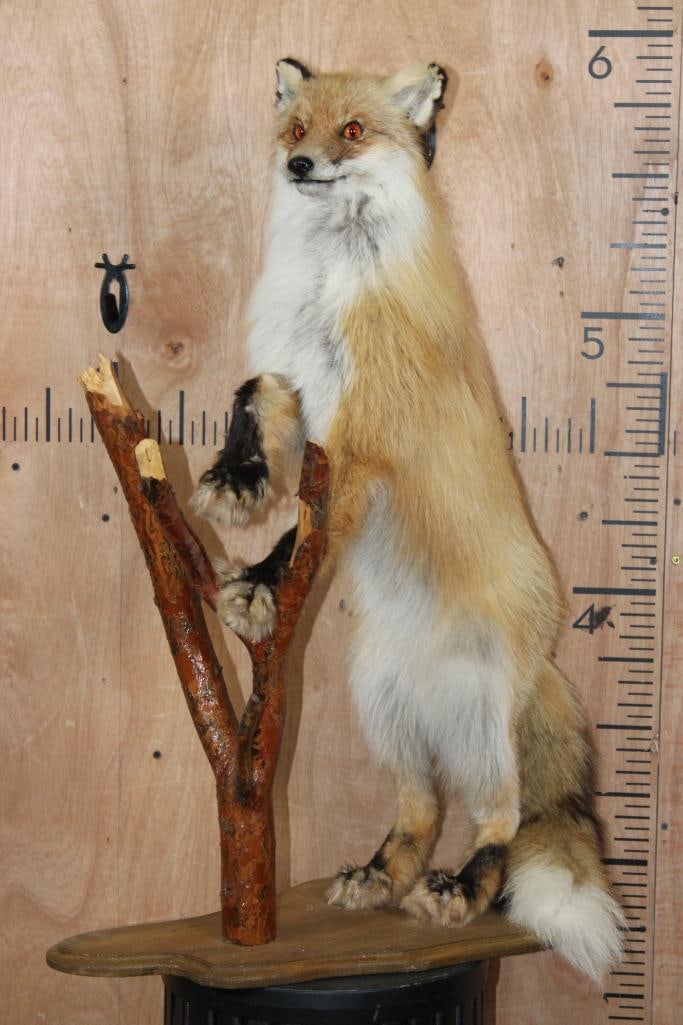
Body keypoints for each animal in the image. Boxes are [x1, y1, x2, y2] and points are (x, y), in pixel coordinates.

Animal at [192, 58, 625, 983]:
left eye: (353, 132)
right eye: (296, 131)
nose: (299, 166)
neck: (329, 283)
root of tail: (539, 660)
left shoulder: (362, 443)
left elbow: (306, 530)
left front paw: (260, 582)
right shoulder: (296, 389)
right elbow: (249, 393)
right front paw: (236, 476)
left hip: (485, 722)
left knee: (499, 818)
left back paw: (460, 888)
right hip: (382, 705)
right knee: (420, 808)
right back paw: (380, 876)